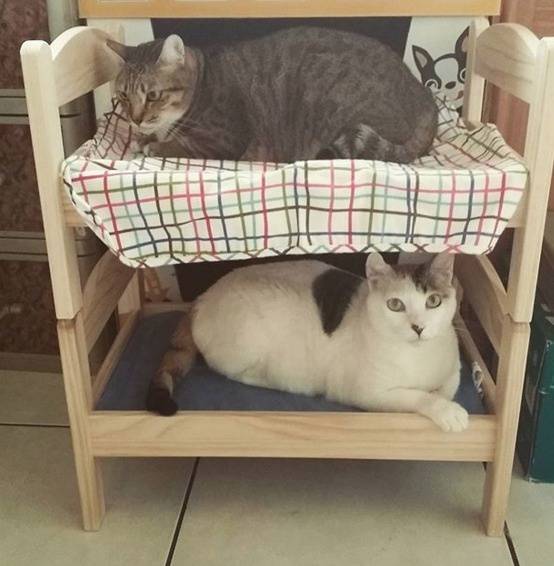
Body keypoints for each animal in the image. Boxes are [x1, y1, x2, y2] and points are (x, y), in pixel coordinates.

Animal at [107, 27, 438, 163]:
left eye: (153, 95)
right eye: (122, 96)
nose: (135, 120)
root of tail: (425, 99)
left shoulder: (224, 140)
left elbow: (180, 146)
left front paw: (153, 145)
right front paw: (146, 137)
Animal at [146, 253, 469, 432]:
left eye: (433, 301)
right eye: (395, 305)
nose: (418, 327)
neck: (418, 357)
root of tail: (201, 298)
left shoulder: (455, 368)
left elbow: (448, 387)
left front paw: (444, 398)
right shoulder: (365, 393)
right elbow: (418, 397)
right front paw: (448, 412)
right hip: (250, 342)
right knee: (237, 373)